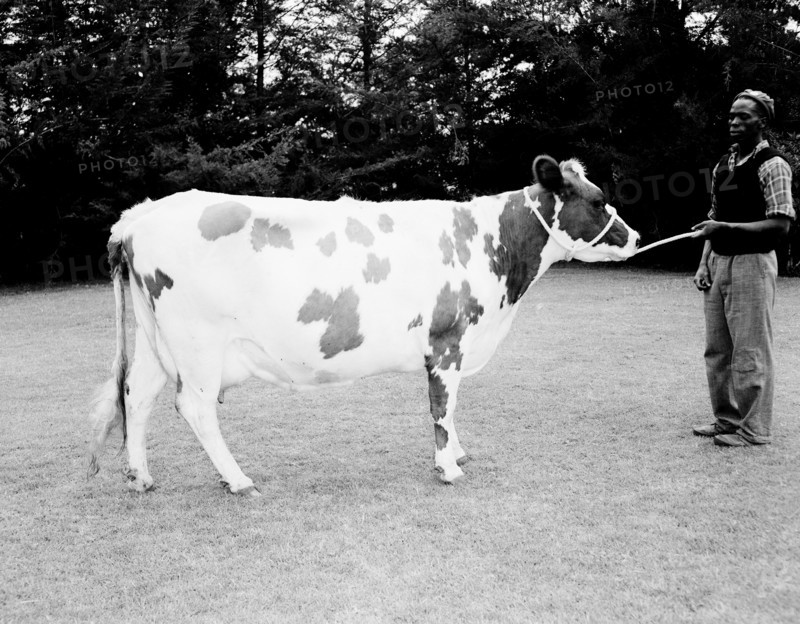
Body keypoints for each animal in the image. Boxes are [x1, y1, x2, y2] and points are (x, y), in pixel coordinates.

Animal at [87, 155, 640, 496]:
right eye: (597, 201)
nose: (635, 237)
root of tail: (141, 215)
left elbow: (452, 407)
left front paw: (458, 454)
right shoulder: (447, 341)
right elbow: (442, 406)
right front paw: (447, 468)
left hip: (158, 341)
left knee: (137, 394)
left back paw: (140, 477)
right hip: (198, 343)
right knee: (194, 408)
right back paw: (238, 480)